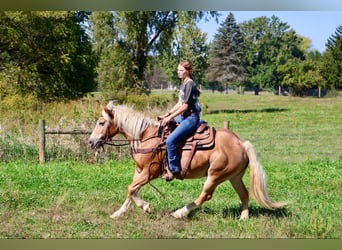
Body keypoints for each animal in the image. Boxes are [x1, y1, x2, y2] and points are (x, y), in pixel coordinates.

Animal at [87, 101, 286, 219]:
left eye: (101, 123)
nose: (91, 141)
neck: (145, 136)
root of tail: (241, 143)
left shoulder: (150, 172)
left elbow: (130, 189)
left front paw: (145, 206)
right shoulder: (140, 171)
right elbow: (132, 191)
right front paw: (119, 213)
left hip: (215, 175)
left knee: (205, 195)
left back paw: (180, 213)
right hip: (233, 176)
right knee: (244, 194)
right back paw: (243, 218)